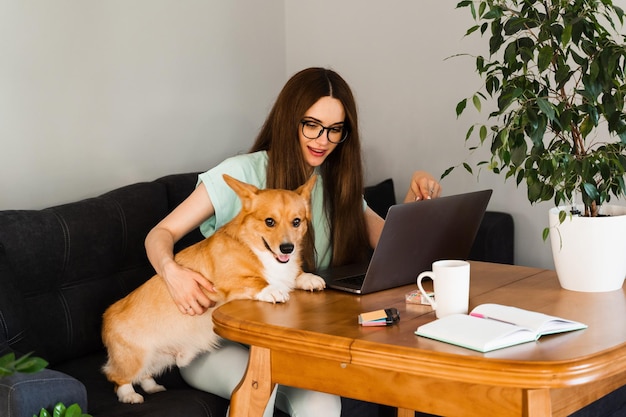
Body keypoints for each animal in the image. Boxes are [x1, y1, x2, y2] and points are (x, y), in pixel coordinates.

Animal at [100, 173, 324, 404]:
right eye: (269, 222)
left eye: (296, 221)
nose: (287, 248)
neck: (256, 249)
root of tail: (106, 317)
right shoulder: (225, 284)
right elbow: (256, 281)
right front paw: (273, 290)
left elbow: (295, 275)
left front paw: (308, 278)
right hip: (135, 358)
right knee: (117, 377)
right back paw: (130, 396)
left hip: (158, 359)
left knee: (145, 375)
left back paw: (153, 387)